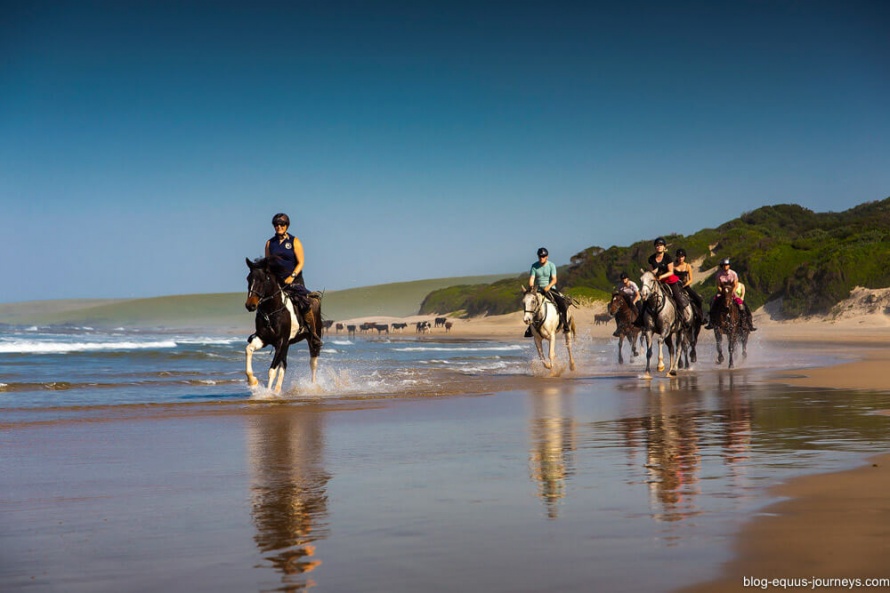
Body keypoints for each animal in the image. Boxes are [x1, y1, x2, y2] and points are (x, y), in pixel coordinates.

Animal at [243, 260, 322, 394]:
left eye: (264, 279)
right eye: (248, 278)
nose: (250, 305)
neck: (271, 312)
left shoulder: (280, 342)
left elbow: (272, 371)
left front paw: (267, 394)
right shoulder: (264, 339)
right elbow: (249, 349)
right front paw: (253, 382)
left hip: (312, 339)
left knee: (313, 362)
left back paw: (313, 386)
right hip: (287, 344)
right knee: (284, 365)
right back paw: (277, 391)